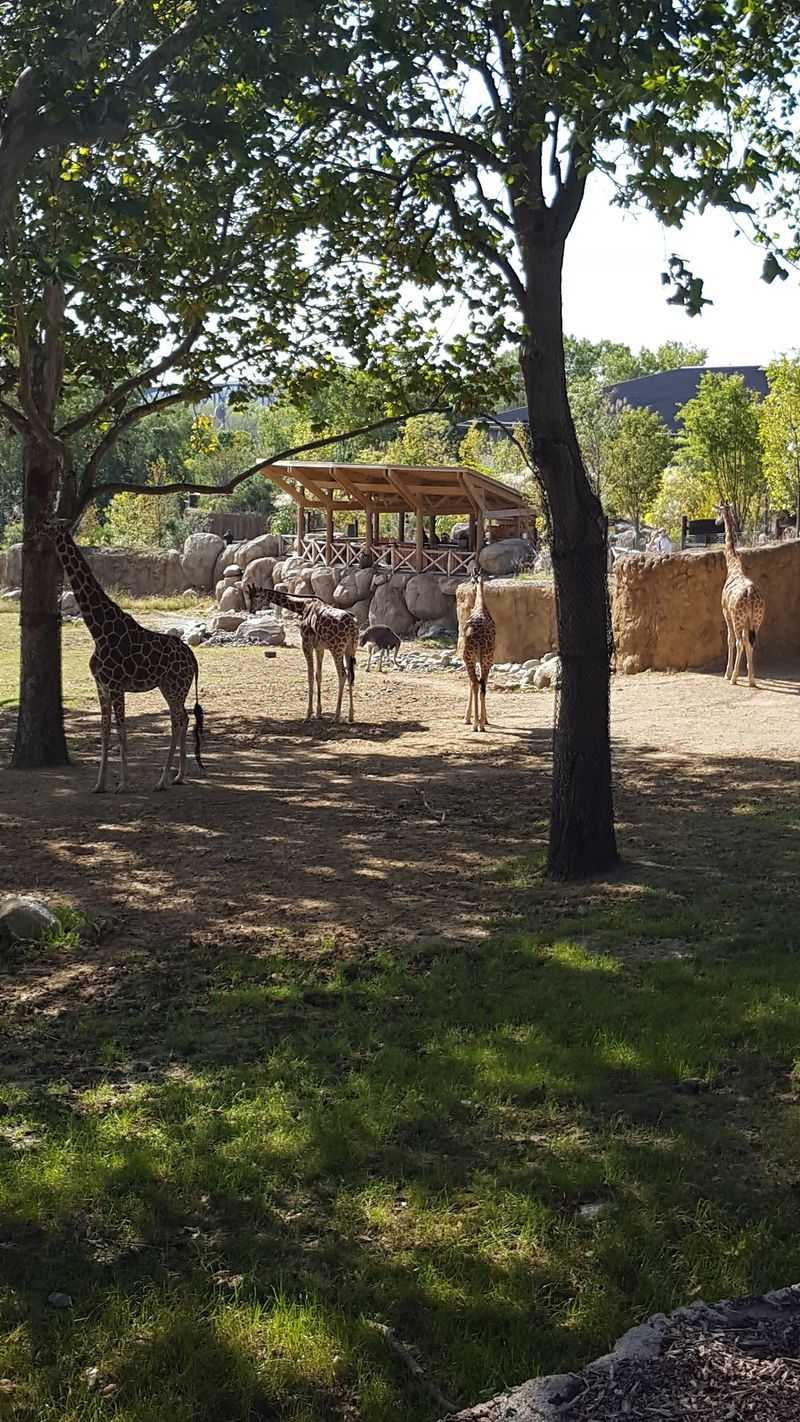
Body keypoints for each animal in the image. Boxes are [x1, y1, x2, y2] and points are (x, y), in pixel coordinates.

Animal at [43, 521, 204, 791]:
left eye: (50, 525)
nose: (36, 531)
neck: (97, 630)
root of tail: (192, 657)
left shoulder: (117, 685)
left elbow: (121, 730)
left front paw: (123, 784)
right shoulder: (102, 686)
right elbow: (105, 731)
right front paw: (99, 784)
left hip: (175, 686)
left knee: (177, 721)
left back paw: (162, 780)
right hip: (168, 687)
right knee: (183, 718)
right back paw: (179, 776)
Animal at [247, 584, 357, 722]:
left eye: (257, 595)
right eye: (249, 596)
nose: (251, 610)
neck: (302, 607)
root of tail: (352, 627)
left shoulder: (306, 644)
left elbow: (310, 676)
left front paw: (308, 714)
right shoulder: (319, 648)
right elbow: (318, 675)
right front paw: (318, 713)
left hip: (336, 648)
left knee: (342, 675)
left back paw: (337, 716)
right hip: (350, 649)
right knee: (350, 676)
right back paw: (351, 716)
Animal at [718, 503, 766, 688]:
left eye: (718, 512)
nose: (716, 522)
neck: (733, 565)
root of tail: (751, 593)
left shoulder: (726, 613)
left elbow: (730, 640)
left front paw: (727, 673)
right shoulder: (747, 620)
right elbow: (747, 641)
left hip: (738, 618)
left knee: (739, 642)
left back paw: (733, 678)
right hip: (757, 619)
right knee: (751, 642)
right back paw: (752, 680)